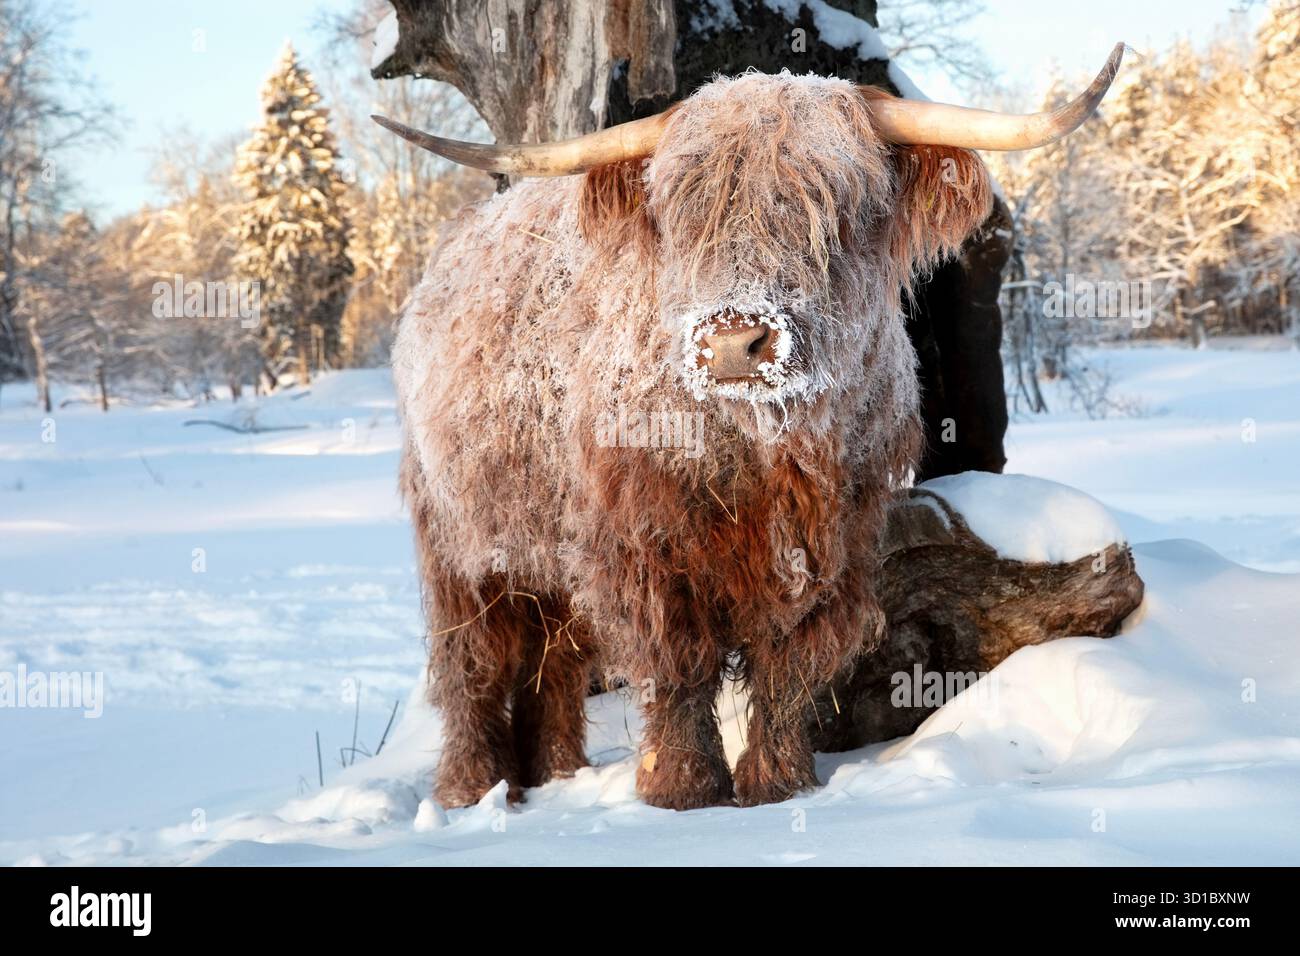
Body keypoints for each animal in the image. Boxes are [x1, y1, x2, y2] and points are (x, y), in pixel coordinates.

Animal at [376, 46, 1123, 810]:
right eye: (685, 212)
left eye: (837, 205)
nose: (734, 343)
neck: (762, 449)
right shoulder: (645, 543)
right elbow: (679, 664)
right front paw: (681, 788)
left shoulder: (834, 542)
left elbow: (789, 664)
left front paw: (778, 783)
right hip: (461, 541)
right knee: (473, 663)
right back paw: (469, 787)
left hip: (543, 545)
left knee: (552, 662)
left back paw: (556, 774)